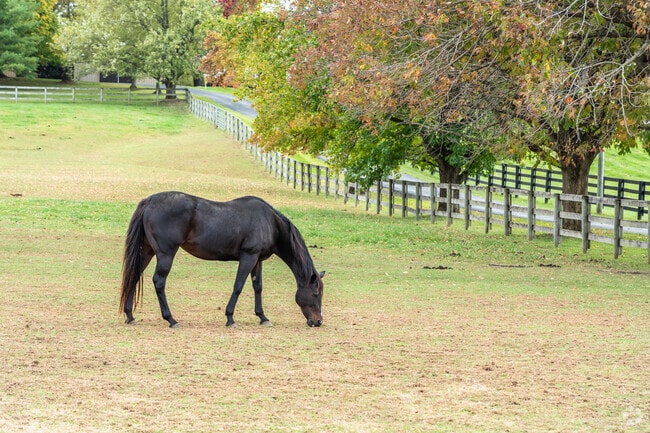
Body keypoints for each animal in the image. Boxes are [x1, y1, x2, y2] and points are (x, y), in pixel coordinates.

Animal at [119, 191, 325, 328]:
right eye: (316, 293)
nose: (318, 321)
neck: (270, 222)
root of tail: (150, 201)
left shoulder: (257, 260)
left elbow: (257, 287)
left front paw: (262, 317)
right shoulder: (248, 257)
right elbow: (238, 286)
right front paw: (230, 318)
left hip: (147, 251)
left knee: (134, 276)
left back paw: (130, 315)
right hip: (166, 254)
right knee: (159, 282)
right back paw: (171, 319)